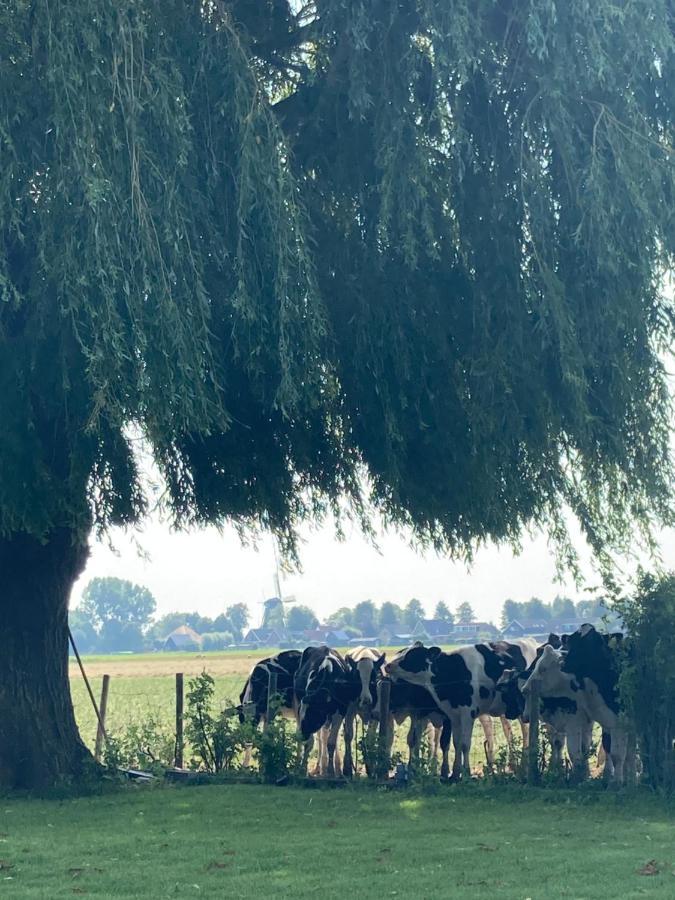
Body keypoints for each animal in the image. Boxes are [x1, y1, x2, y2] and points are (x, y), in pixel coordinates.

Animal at [386, 640, 540, 780]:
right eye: (402, 652)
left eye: (411, 655)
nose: (388, 665)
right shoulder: (451, 715)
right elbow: (456, 742)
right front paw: (455, 773)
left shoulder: (467, 713)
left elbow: (464, 744)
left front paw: (465, 773)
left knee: (526, 733)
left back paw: (524, 766)